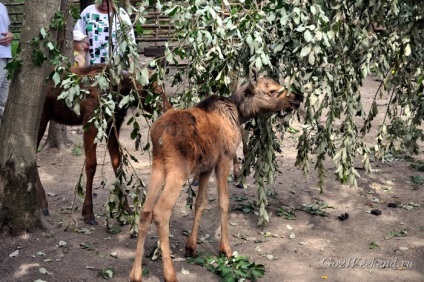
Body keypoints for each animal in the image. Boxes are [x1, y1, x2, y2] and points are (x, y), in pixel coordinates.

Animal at [36, 64, 169, 225]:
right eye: (158, 92)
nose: (169, 109)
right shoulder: (90, 123)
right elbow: (91, 165)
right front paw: (88, 213)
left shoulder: (112, 125)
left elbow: (117, 163)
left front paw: (125, 208)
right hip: (42, 118)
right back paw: (43, 203)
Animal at [128, 68, 302, 282]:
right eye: (272, 90)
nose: (298, 97)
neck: (240, 114)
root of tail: (157, 135)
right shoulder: (224, 158)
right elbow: (223, 201)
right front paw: (225, 249)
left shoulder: (206, 167)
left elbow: (200, 202)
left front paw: (191, 246)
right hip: (178, 169)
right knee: (161, 212)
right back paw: (170, 273)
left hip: (159, 166)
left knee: (145, 211)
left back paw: (136, 273)